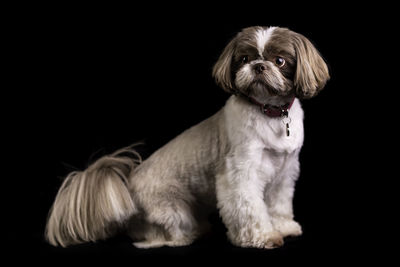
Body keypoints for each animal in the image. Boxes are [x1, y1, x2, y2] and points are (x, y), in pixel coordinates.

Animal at [45, 26, 330, 250]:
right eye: (244, 58)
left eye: (280, 61)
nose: (258, 66)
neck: (270, 113)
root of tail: (128, 185)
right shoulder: (240, 175)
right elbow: (249, 208)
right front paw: (263, 237)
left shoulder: (285, 172)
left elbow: (279, 204)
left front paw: (284, 227)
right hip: (173, 209)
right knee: (159, 238)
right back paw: (189, 235)